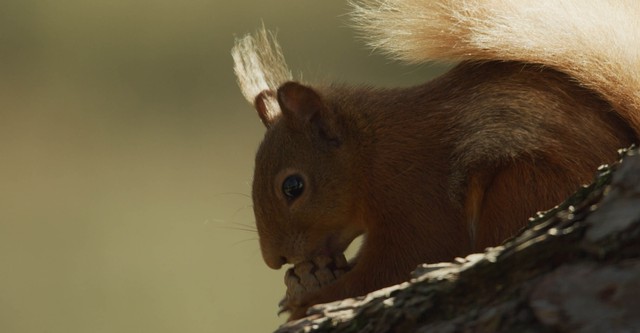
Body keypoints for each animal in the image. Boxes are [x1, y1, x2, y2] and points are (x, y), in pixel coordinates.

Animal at [230, 0, 640, 322]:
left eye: (293, 186)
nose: (275, 259)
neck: (372, 155)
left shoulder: (417, 198)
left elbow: (395, 267)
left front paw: (308, 299)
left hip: (521, 186)